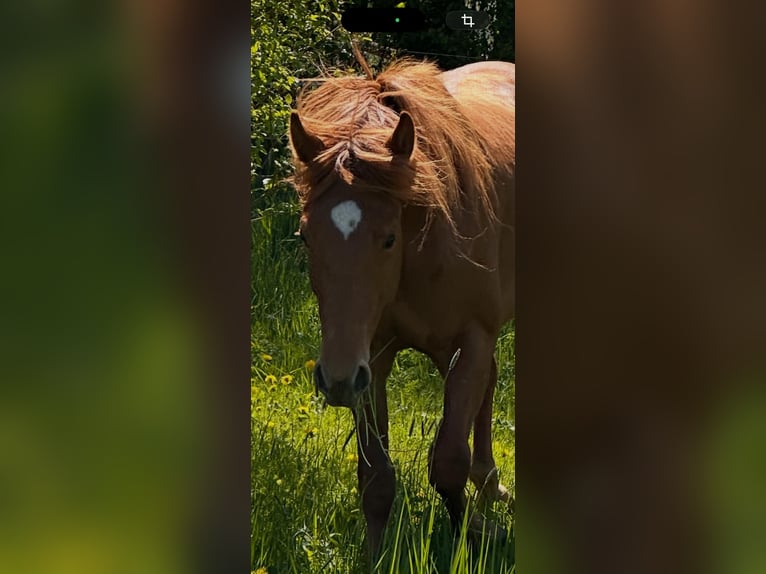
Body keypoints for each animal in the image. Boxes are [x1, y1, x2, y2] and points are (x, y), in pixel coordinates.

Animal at [288, 58, 515, 554]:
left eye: (389, 238)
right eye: (306, 236)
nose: (333, 379)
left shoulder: (471, 339)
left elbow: (447, 461)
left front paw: (474, 534)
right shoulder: (369, 357)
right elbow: (376, 477)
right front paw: (375, 554)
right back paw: (488, 482)